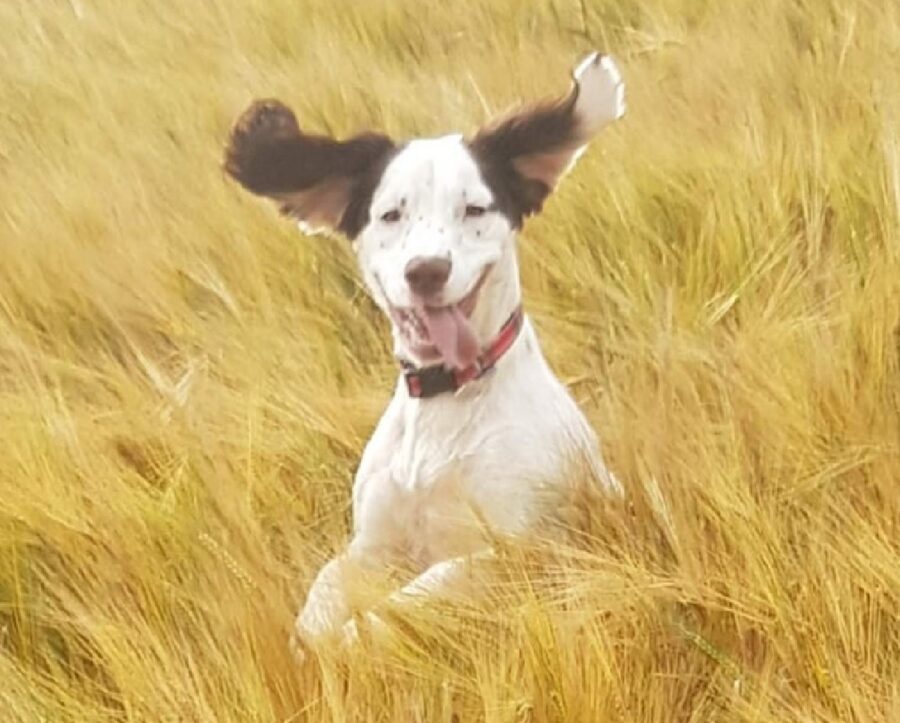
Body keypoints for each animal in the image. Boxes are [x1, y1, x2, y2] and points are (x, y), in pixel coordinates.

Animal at [223, 52, 624, 656]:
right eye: (391, 215)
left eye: (475, 209)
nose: (426, 271)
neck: (448, 398)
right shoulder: (370, 546)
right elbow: (319, 599)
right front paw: (304, 650)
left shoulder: (515, 553)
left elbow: (406, 600)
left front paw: (345, 647)